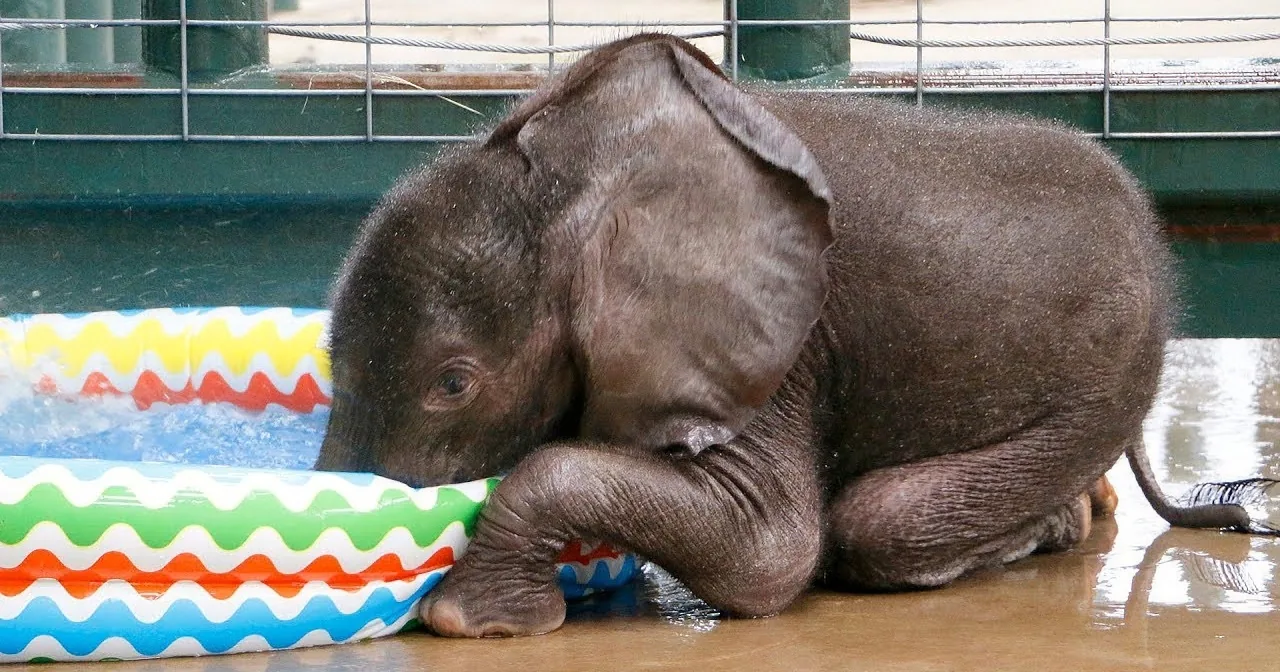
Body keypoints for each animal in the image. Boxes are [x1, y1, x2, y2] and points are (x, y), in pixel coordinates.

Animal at [314, 32, 1278, 637]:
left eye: (454, 383)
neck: (583, 179)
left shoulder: (786, 345)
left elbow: (766, 556)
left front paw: (462, 621)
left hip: (1106, 375)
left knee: (879, 524)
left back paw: (1044, 526)